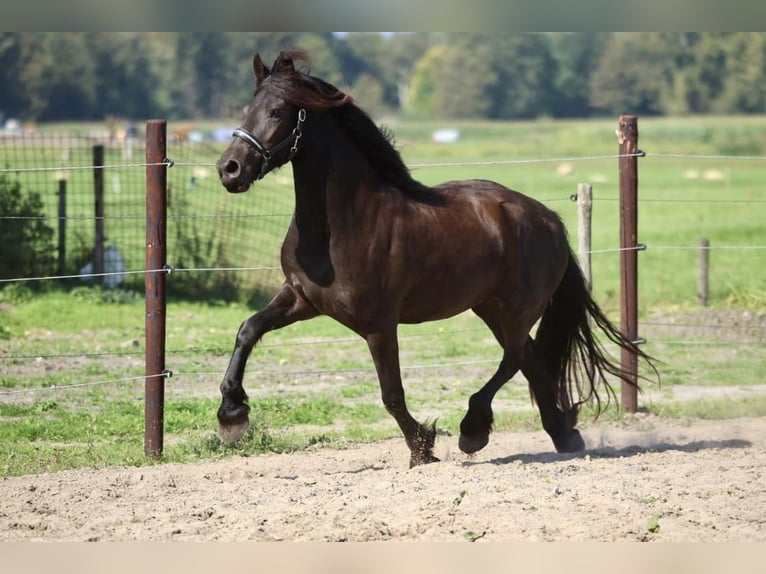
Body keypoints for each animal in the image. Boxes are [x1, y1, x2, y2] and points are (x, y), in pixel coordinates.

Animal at [214, 51, 656, 470]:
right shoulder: (301, 299)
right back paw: (563, 436)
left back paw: (474, 429)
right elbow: (247, 329)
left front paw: (422, 448)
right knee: (530, 360)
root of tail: (548, 219)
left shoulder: (378, 323)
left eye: (277, 111)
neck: (341, 226)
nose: (228, 169)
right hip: (490, 308)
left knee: (515, 358)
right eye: (246, 110)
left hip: (517, 309)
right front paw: (232, 415)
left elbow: (391, 393)